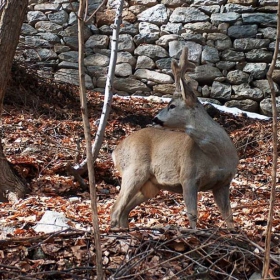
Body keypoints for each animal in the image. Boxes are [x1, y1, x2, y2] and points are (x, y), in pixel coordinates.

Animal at [110, 47, 237, 229]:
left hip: (151, 185)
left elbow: (229, 216)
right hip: (133, 170)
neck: (216, 155)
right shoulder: (188, 176)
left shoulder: (224, 183)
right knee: (115, 209)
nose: (155, 119)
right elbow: (192, 214)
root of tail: (115, 151)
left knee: (124, 211)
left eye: (172, 105)